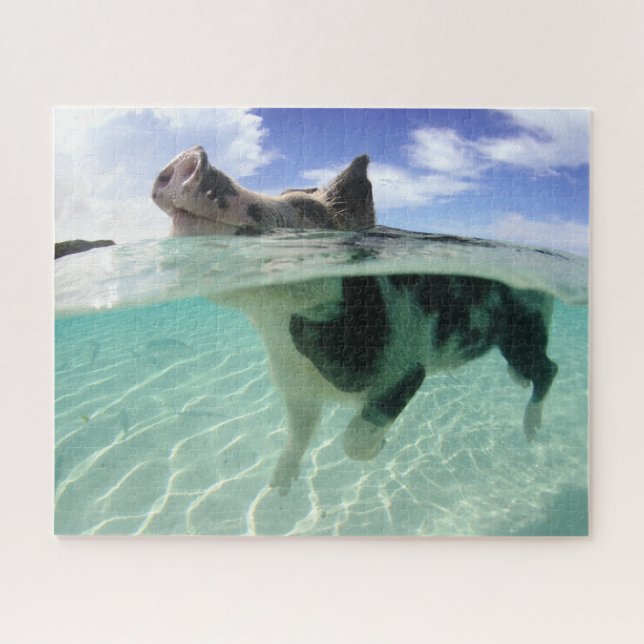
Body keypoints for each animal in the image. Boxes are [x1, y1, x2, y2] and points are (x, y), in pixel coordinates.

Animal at [152, 147, 558, 495]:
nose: (194, 156)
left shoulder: (408, 368)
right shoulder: (293, 384)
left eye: (305, 209)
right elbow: (299, 431)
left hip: (526, 326)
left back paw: (532, 433)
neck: (282, 330)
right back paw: (518, 385)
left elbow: (354, 440)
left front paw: (381, 446)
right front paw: (277, 490)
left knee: (548, 368)